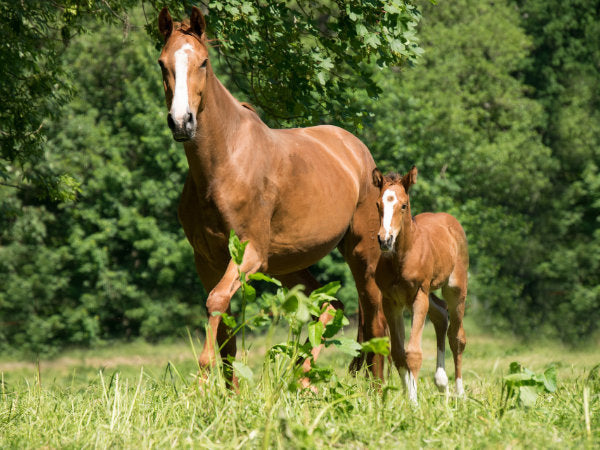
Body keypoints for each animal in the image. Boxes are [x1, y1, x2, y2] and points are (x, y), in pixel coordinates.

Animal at [157, 7, 386, 382]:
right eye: (163, 63)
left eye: (203, 62)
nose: (181, 122)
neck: (224, 164)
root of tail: (356, 151)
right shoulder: (207, 259)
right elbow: (225, 332)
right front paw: (227, 390)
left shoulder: (250, 252)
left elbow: (215, 302)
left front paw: (202, 379)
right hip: (288, 263)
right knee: (330, 305)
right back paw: (302, 376)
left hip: (361, 252)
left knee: (374, 316)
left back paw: (374, 386)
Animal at [372, 167, 466, 402]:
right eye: (378, 204)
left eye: (403, 205)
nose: (385, 240)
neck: (402, 258)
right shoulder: (391, 301)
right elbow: (398, 353)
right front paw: (408, 396)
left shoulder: (418, 295)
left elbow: (413, 352)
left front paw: (414, 404)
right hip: (428, 293)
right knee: (440, 314)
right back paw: (442, 383)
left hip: (455, 289)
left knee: (457, 337)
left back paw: (460, 393)